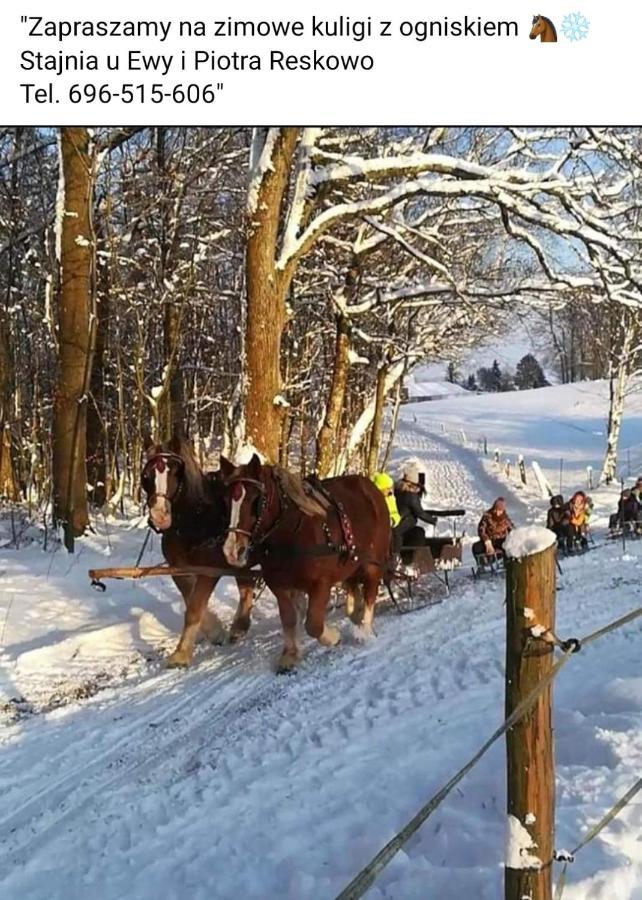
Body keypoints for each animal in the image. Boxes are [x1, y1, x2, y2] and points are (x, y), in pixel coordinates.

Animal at [142, 436, 258, 668]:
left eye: (175, 472)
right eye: (147, 476)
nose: (160, 516)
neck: (194, 520)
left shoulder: (209, 569)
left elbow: (194, 607)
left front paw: (181, 654)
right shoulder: (179, 569)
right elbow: (191, 599)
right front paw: (214, 631)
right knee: (246, 588)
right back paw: (239, 627)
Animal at [220, 454, 388, 672]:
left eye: (255, 500)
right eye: (225, 501)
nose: (232, 551)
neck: (291, 535)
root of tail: (372, 488)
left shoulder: (321, 584)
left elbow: (313, 624)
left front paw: (334, 637)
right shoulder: (280, 586)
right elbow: (289, 618)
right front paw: (290, 655)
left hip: (373, 564)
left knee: (370, 593)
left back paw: (365, 631)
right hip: (352, 565)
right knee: (353, 588)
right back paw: (355, 613)